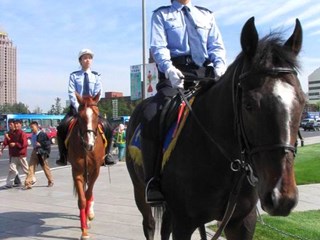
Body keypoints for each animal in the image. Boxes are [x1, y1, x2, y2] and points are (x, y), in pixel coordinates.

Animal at [67, 92, 105, 240]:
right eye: (80, 117)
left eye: (97, 115)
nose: (90, 144)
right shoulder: (77, 171)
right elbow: (82, 199)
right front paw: (84, 231)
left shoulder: (96, 170)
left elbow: (88, 195)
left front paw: (87, 219)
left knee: (89, 191)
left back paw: (90, 214)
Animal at [125, 17, 304, 240]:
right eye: (249, 105)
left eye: (303, 102)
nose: (282, 197)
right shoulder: (184, 222)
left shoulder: (242, 221)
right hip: (139, 190)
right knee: (149, 224)